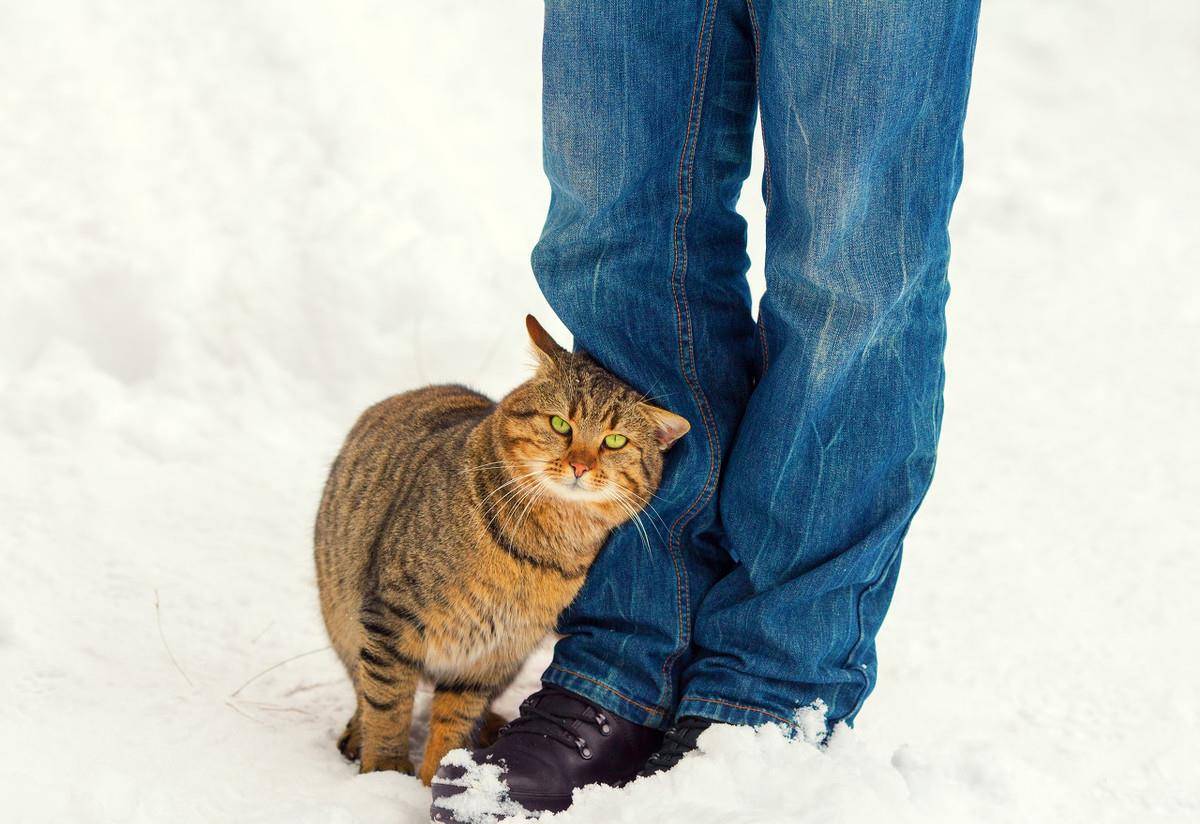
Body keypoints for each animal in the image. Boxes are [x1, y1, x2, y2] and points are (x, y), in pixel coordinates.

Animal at [312, 316, 686, 786]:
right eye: (560, 424)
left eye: (614, 441)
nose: (580, 465)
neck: (538, 549)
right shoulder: (390, 619)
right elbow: (387, 703)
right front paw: (385, 771)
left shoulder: (491, 654)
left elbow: (453, 719)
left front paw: (441, 774)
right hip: (344, 616)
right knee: (363, 685)